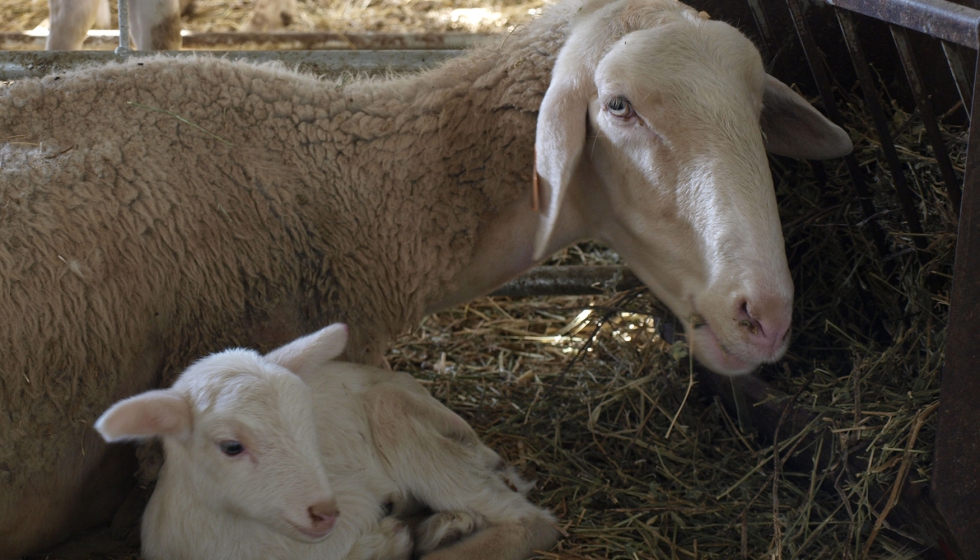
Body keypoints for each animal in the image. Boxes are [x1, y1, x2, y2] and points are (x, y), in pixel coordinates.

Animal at [97, 324, 560, 560]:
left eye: (308, 424)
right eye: (231, 446)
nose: (325, 512)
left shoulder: (355, 505)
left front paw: (389, 540)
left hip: (402, 421)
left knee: (529, 520)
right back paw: (443, 527)